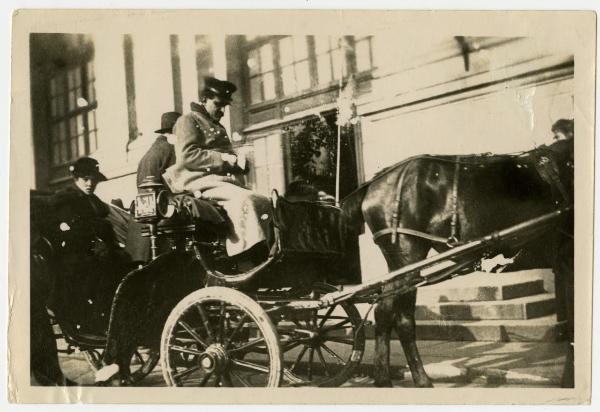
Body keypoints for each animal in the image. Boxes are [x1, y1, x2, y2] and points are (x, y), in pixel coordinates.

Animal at [340, 138, 576, 386]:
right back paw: (411, 379)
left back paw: (394, 379)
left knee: (388, 314)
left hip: (399, 264)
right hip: (407, 256)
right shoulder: (567, 262)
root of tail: (373, 183)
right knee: (397, 316)